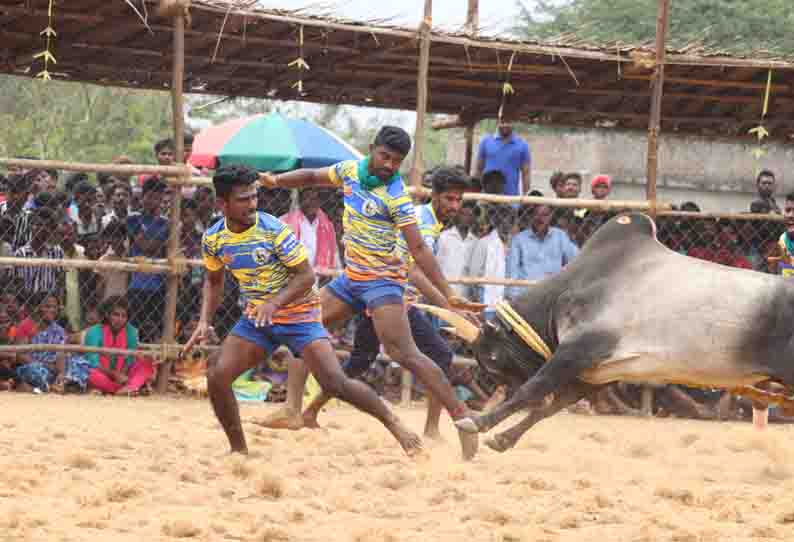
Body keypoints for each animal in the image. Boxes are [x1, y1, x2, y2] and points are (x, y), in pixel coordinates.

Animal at [424, 212, 794, 454]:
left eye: (491, 360)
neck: (565, 291)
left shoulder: (579, 350)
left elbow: (533, 390)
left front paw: (477, 423)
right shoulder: (597, 374)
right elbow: (549, 406)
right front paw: (502, 439)